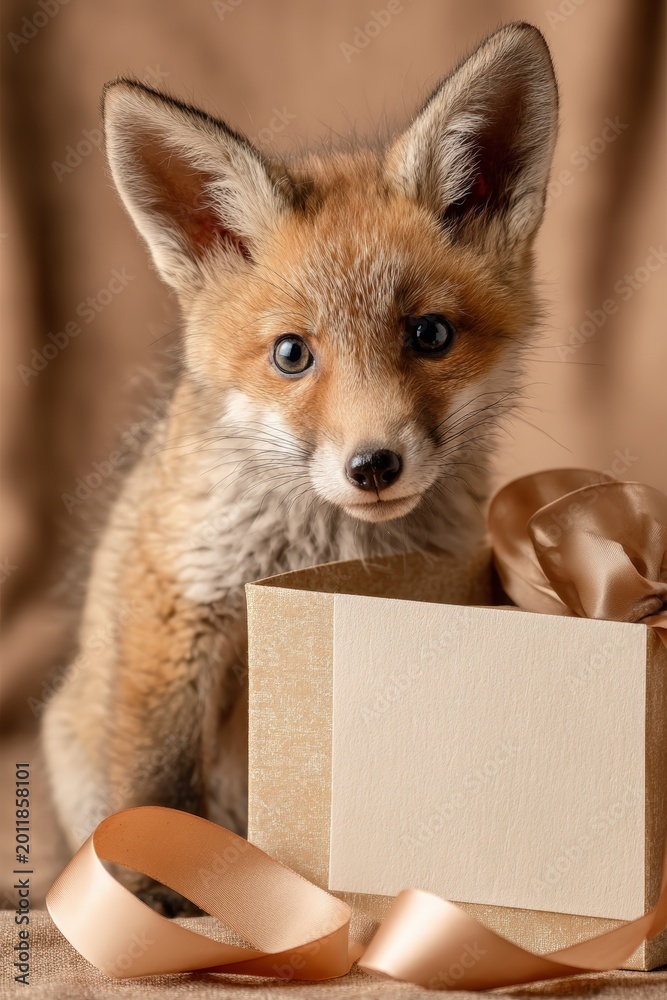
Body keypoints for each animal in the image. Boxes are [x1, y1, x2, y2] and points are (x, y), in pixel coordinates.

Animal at [43, 22, 558, 914]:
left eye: (429, 335)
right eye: (292, 354)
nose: (374, 465)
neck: (325, 549)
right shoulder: (176, 605)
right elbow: (157, 785)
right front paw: (151, 903)